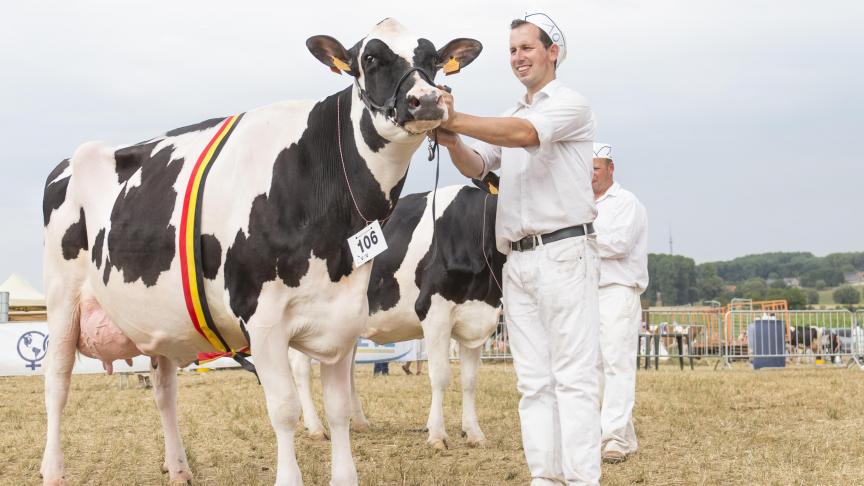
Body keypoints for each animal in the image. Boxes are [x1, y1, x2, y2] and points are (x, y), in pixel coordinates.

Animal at [40, 19, 481, 486]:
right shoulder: (263, 320)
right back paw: (53, 469)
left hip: (157, 318)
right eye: (370, 58)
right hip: (62, 299)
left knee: (164, 391)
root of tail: (73, 158)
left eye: (434, 59)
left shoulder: (344, 317)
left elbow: (340, 409)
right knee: (57, 382)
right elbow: (284, 409)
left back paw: (178, 467)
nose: (427, 100)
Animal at [290, 183, 505, 450]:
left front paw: (474, 433)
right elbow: (440, 375)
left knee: (346, 371)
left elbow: (470, 379)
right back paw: (316, 428)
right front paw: (437, 434)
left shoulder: (476, 317)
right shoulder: (434, 311)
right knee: (301, 368)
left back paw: (358, 421)